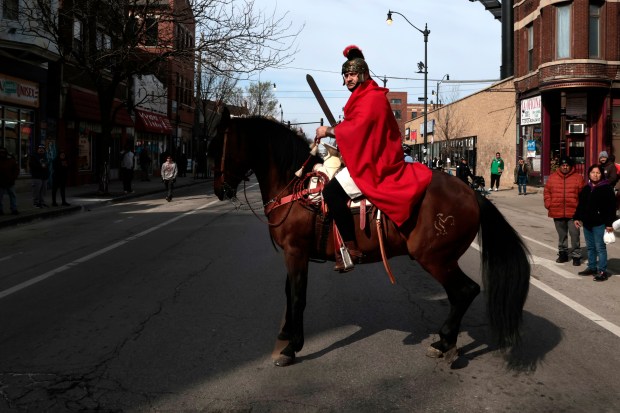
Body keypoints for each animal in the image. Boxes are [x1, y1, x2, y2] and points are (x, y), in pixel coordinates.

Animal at [208, 108, 528, 366]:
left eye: (214, 147)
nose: (220, 190)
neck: (295, 186)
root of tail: (472, 193)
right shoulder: (293, 254)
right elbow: (289, 294)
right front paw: (287, 335)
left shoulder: (295, 252)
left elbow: (298, 297)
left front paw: (291, 348)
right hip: (442, 259)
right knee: (460, 294)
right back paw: (445, 342)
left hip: (435, 258)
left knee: (464, 291)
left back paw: (445, 342)